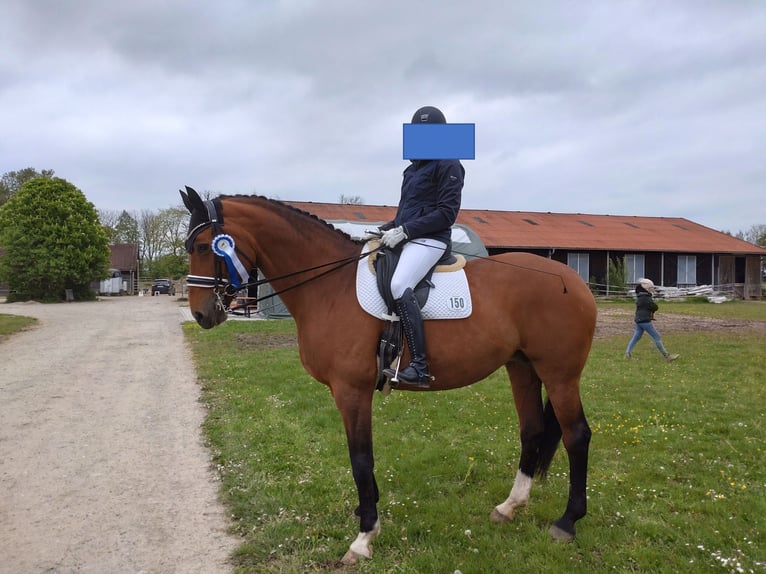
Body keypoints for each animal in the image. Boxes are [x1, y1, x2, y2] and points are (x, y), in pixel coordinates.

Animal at [182, 188, 600, 568]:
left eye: (203, 246)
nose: (202, 314)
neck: (329, 286)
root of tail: (572, 279)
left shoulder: (351, 391)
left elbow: (360, 459)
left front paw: (364, 537)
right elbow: (361, 459)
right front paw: (368, 513)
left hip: (559, 373)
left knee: (576, 435)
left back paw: (567, 522)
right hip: (523, 368)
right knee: (532, 430)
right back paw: (510, 506)